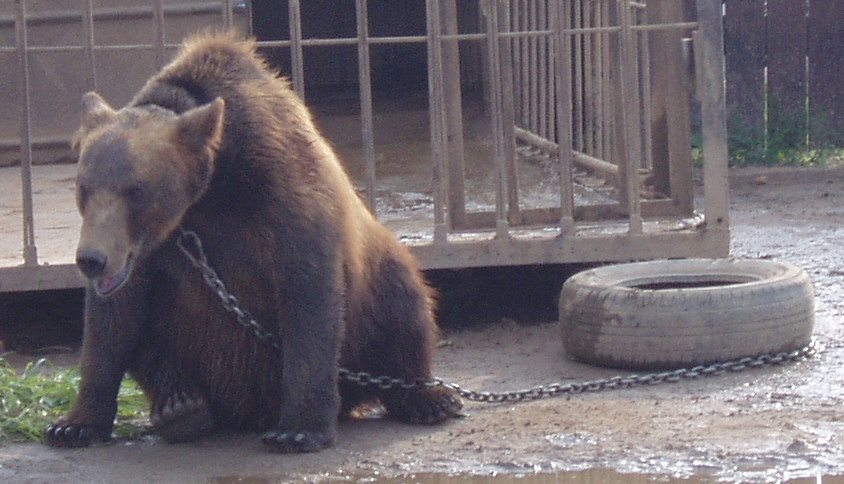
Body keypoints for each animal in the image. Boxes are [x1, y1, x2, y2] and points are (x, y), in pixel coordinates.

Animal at [44, 31, 462, 453]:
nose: (91, 259)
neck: (211, 188)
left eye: (136, 190)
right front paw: (73, 425)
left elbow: (309, 298)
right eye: (84, 187)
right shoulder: (152, 251)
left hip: (373, 286)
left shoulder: (280, 199)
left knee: (403, 305)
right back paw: (180, 405)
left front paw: (298, 429)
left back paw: (428, 398)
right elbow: (113, 322)